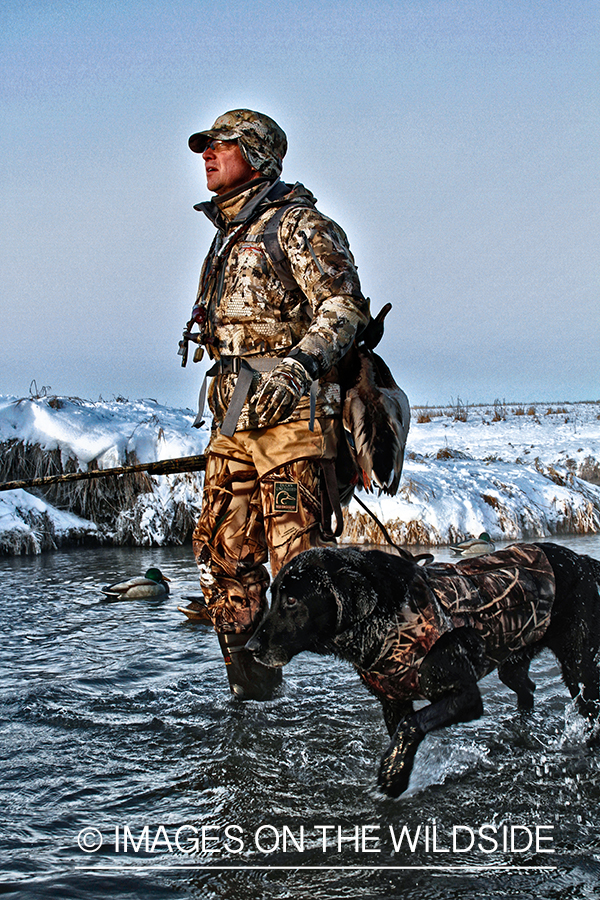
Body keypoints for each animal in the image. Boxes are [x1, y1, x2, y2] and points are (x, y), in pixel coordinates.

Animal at [247, 540, 600, 796]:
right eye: (273, 595)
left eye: (292, 601)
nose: (251, 648)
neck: (387, 617)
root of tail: (583, 561)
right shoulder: (393, 702)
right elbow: (403, 728)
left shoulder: (466, 697)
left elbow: (412, 726)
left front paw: (393, 776)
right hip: (512, 660)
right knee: (527, 687)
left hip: (579, 667)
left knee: (587, 706)